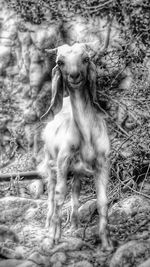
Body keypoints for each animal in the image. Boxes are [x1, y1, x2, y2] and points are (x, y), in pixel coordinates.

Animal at [39, 43, 112, 251]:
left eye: (86, 59)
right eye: (60, 62)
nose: (74, 75)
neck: (86, 137)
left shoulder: (102, 164)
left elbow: (102, 201)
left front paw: (106, 244)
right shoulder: (62, 163)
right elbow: (59, 196)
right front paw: (53, 239)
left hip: (77, 172)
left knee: (76, 192)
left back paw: (74, 226)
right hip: (49, 163)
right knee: (51, 193)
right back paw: (49, 225)